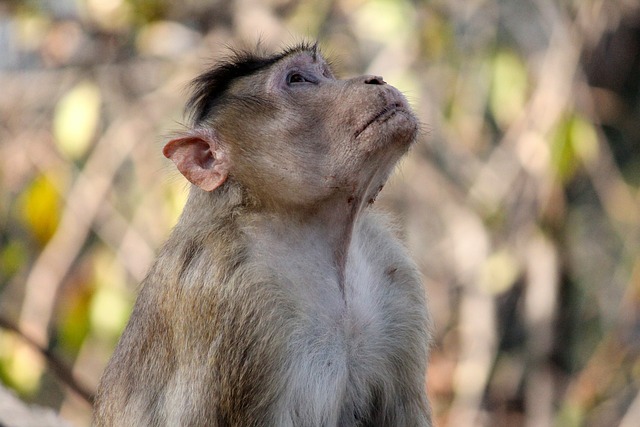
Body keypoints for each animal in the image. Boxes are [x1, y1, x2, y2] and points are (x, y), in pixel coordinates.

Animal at [95, 41, 432, 427]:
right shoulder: (231, 291)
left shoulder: (393, 271)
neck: (316, 233)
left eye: (325, 74)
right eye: (297, 79)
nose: (375, 79)